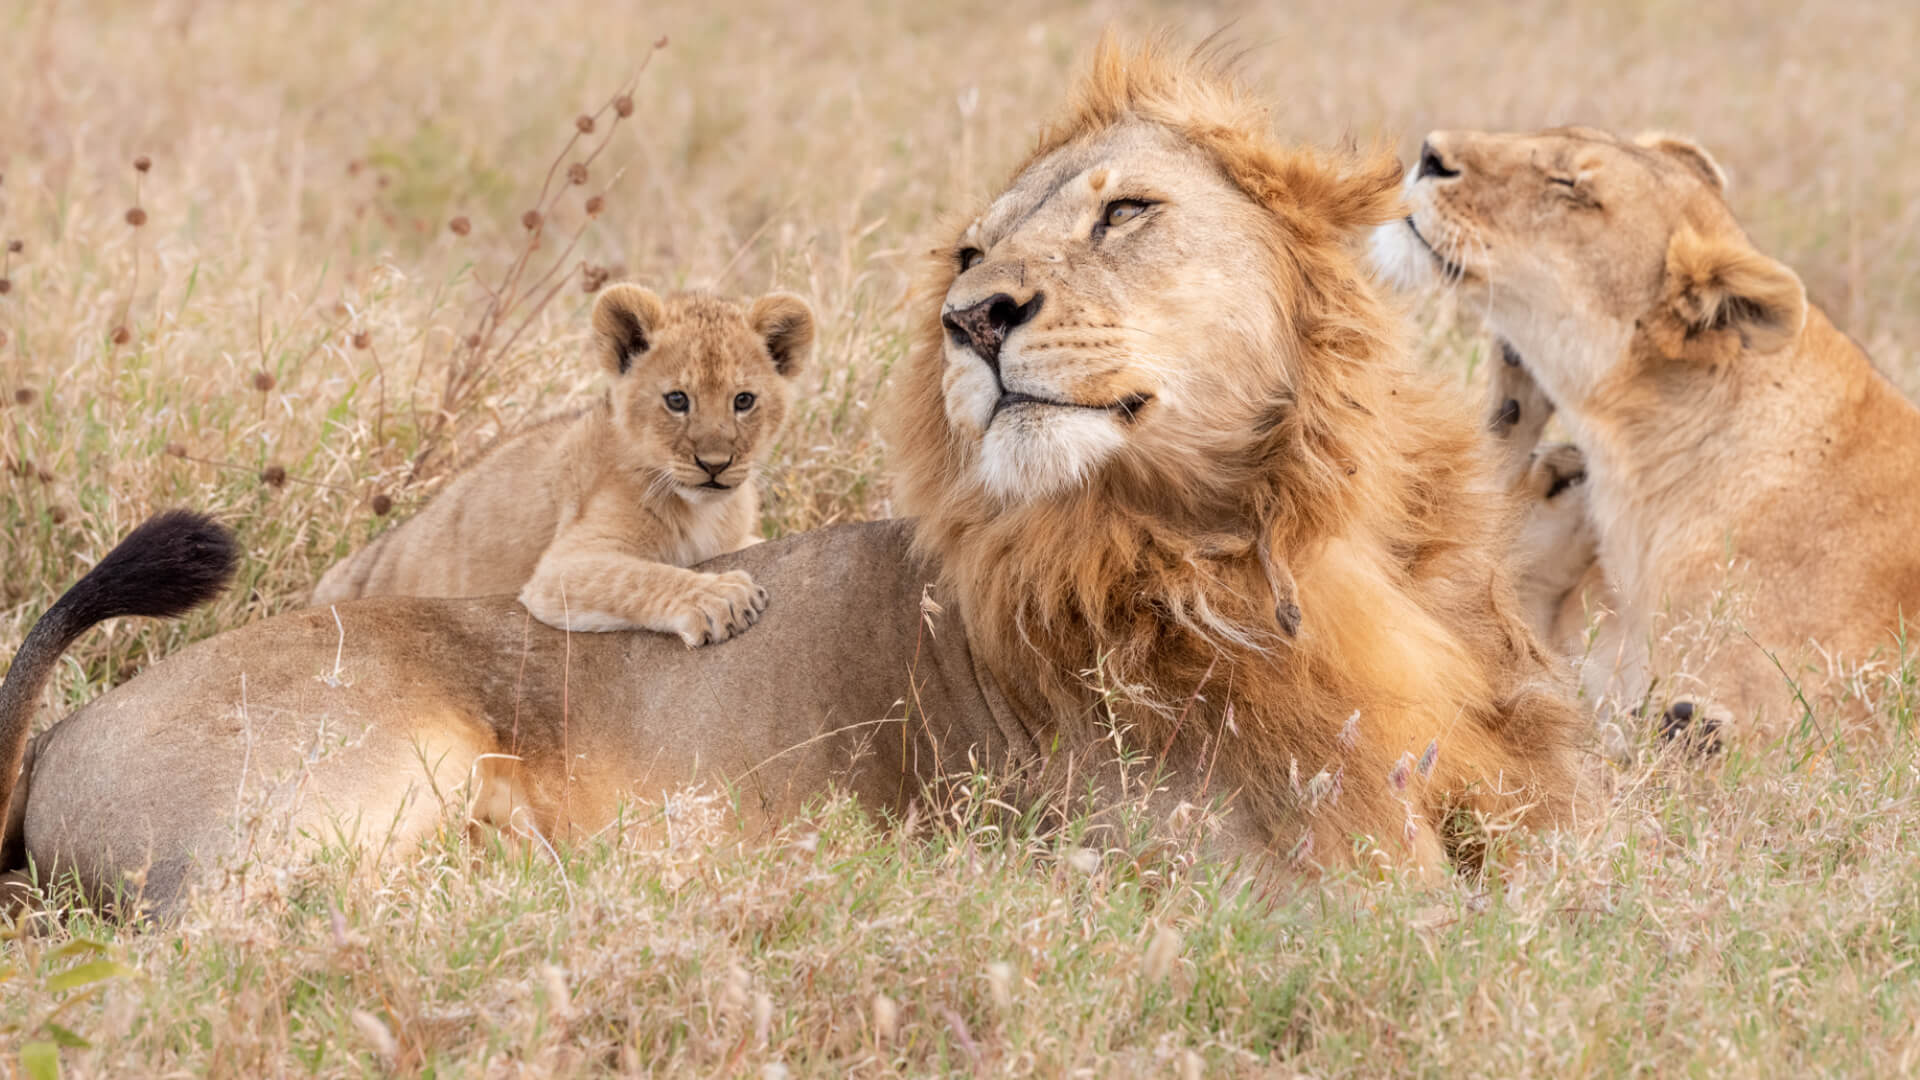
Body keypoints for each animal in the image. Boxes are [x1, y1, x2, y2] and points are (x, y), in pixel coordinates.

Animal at [311, 285, 815, 647]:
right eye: (677, 400)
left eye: (743, 401)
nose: (715, 464)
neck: (706, 509)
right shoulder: (560, 568)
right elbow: (637, 575)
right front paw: (721, 597)